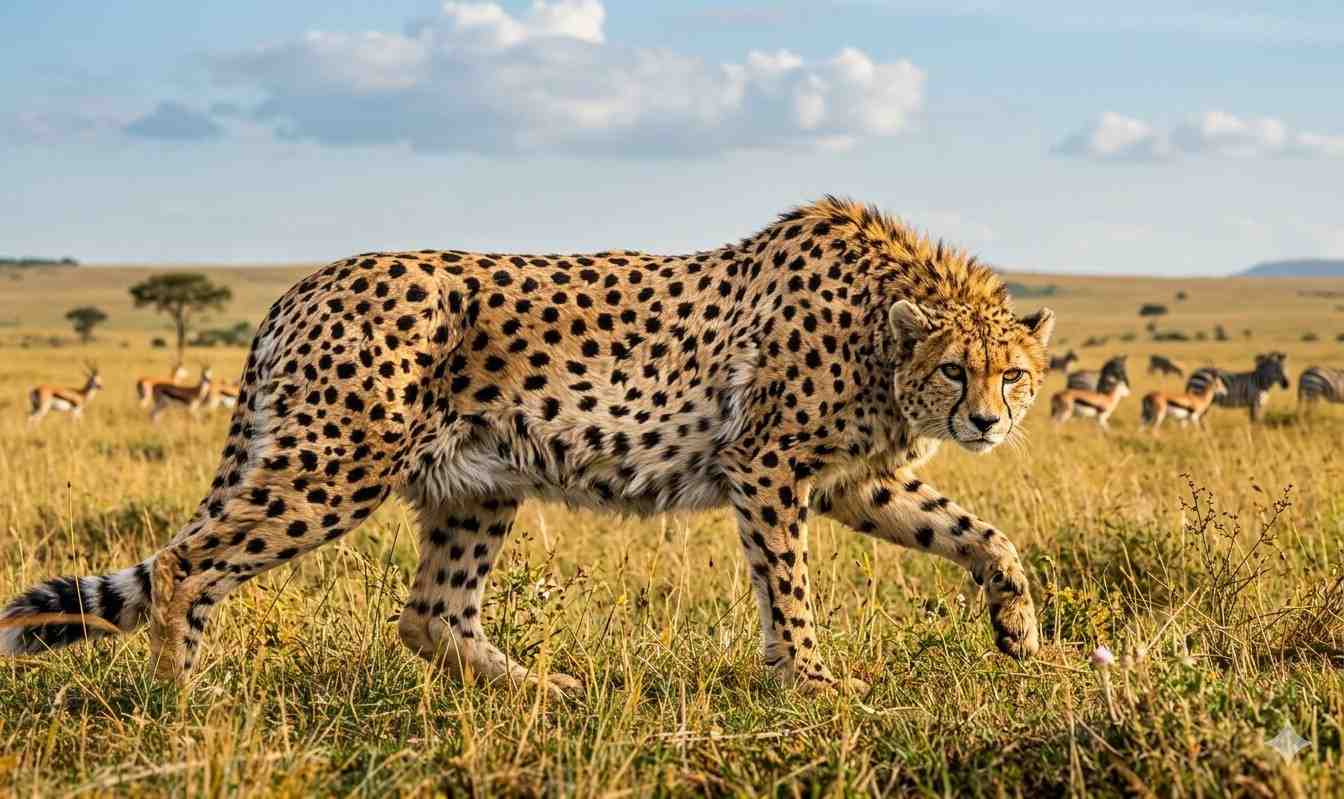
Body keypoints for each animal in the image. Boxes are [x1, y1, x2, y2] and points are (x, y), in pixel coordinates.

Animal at [1, 197, 1054, 697]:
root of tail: (306, 282)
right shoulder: (766, 467)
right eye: (955, 371)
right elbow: (788, 585)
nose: (987, 422)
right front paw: (809, 681)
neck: (885, 325)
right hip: (335, 466)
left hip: (477, 482)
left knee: (429, 615)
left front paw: (1021, 638)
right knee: (186, 566)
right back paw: (190, 700)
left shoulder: (848, 481)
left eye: (1014, 373)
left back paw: (540, 689)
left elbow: (983, 536)